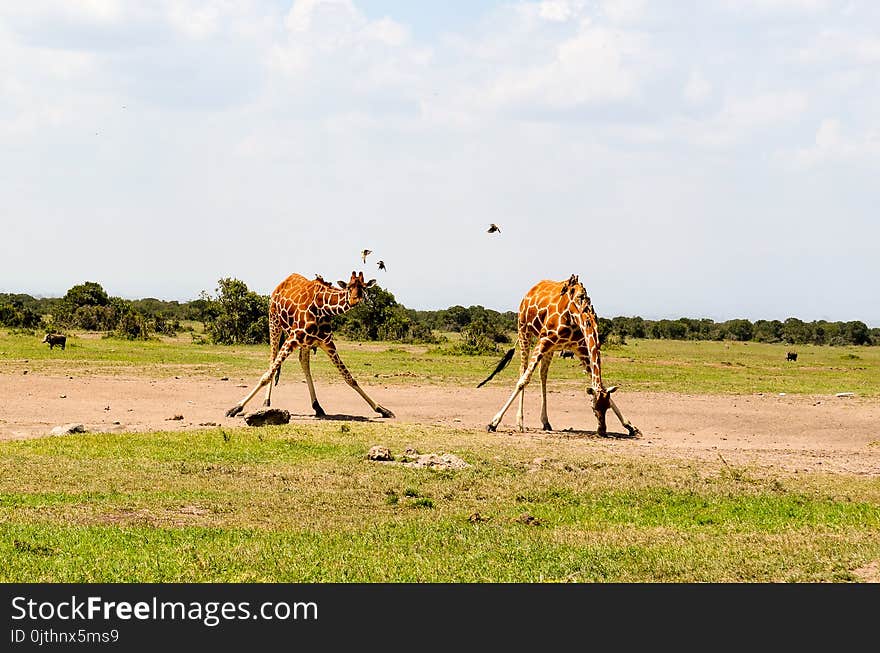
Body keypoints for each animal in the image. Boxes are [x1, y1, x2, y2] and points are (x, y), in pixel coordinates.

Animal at [227, 272, 396, 420]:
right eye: (349, 287)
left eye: (363, 287)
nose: (356, 299)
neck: (323, 308)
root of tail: (280, 285)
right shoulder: (293, 337)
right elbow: (267, 375)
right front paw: (236, 408)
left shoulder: (327, 343)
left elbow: (349, 378)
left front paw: (382, 409)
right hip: (274, 322)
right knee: (272, 359)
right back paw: (266, 402)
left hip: (305, 342)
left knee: (304, 362)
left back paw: (317, 407)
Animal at [482, 272, 640, 436]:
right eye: (593, 407)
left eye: (607, 407)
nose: (602, 430)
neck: (577, 314)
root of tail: (530, 291)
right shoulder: (544, 340)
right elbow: (523, 380)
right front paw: (493, 422)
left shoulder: (580, 348)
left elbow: (599, 382)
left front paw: (630, 426)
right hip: (524, 331)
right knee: (523, 370)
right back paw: (520, 422)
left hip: (550, 347)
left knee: (543, 374)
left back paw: (545, 422)